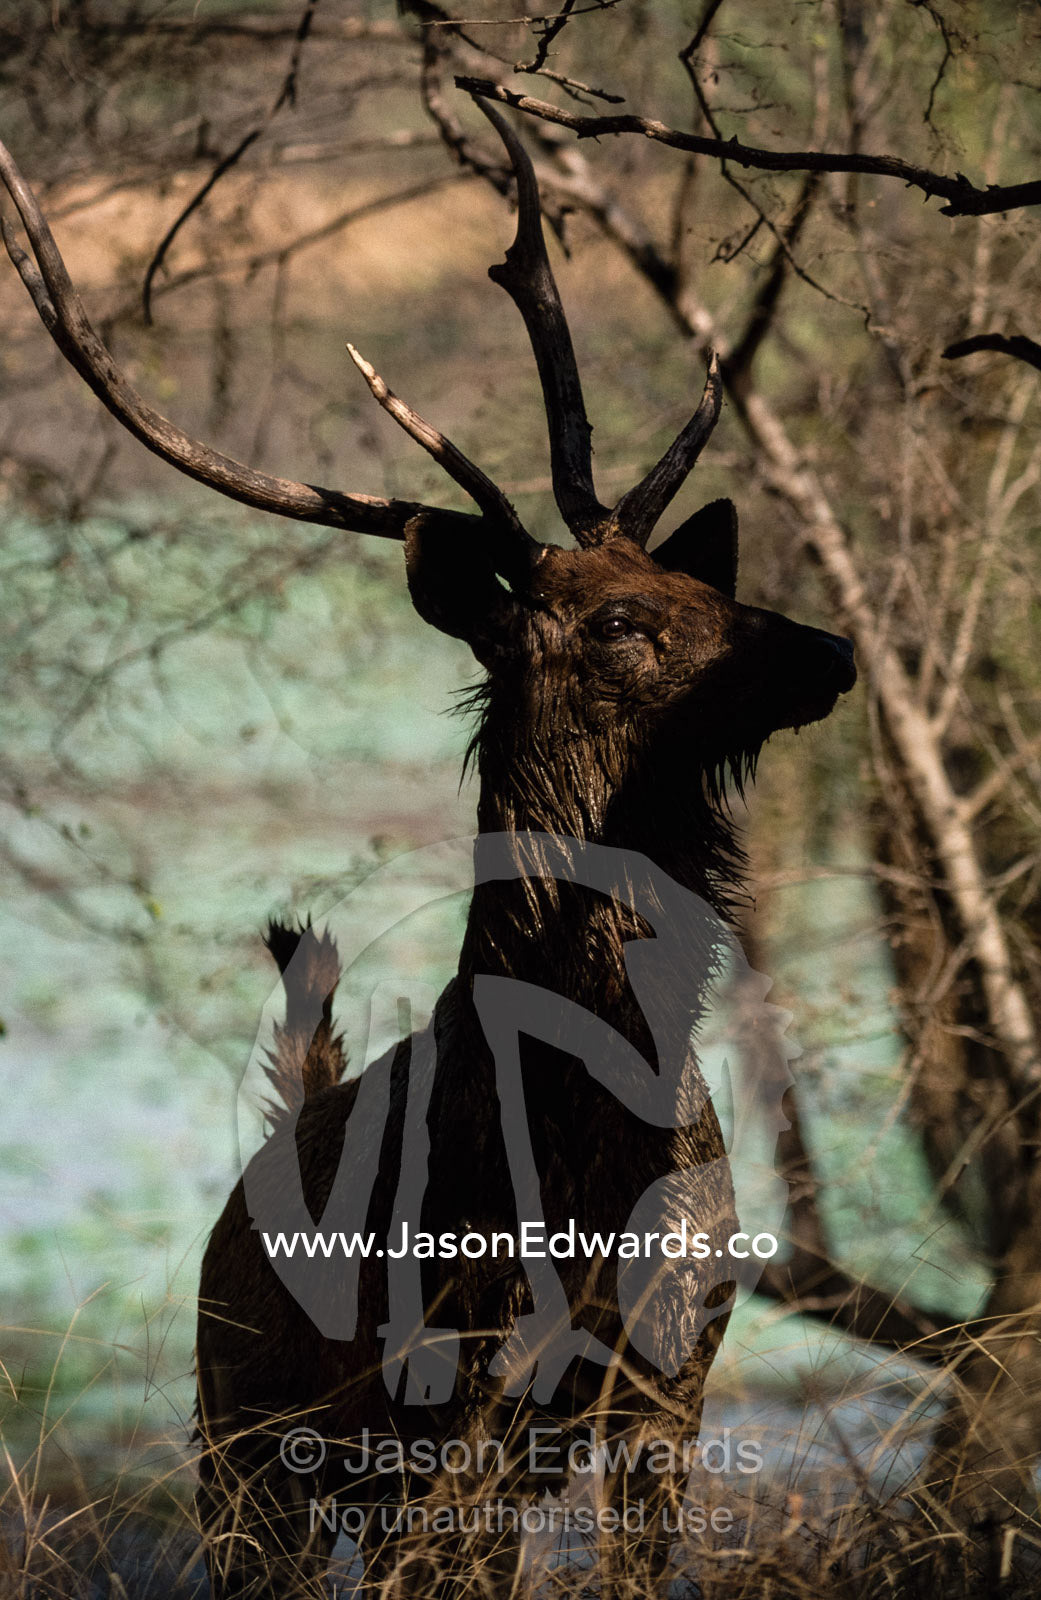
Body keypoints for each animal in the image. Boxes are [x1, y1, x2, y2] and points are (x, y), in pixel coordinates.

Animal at [0, 98, 855, 1599]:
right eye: (619, 622)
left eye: (695, 580)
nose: (828, 647)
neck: (584, 1156)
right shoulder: (452, 1399)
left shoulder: (668, 1387)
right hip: (242, 1444)